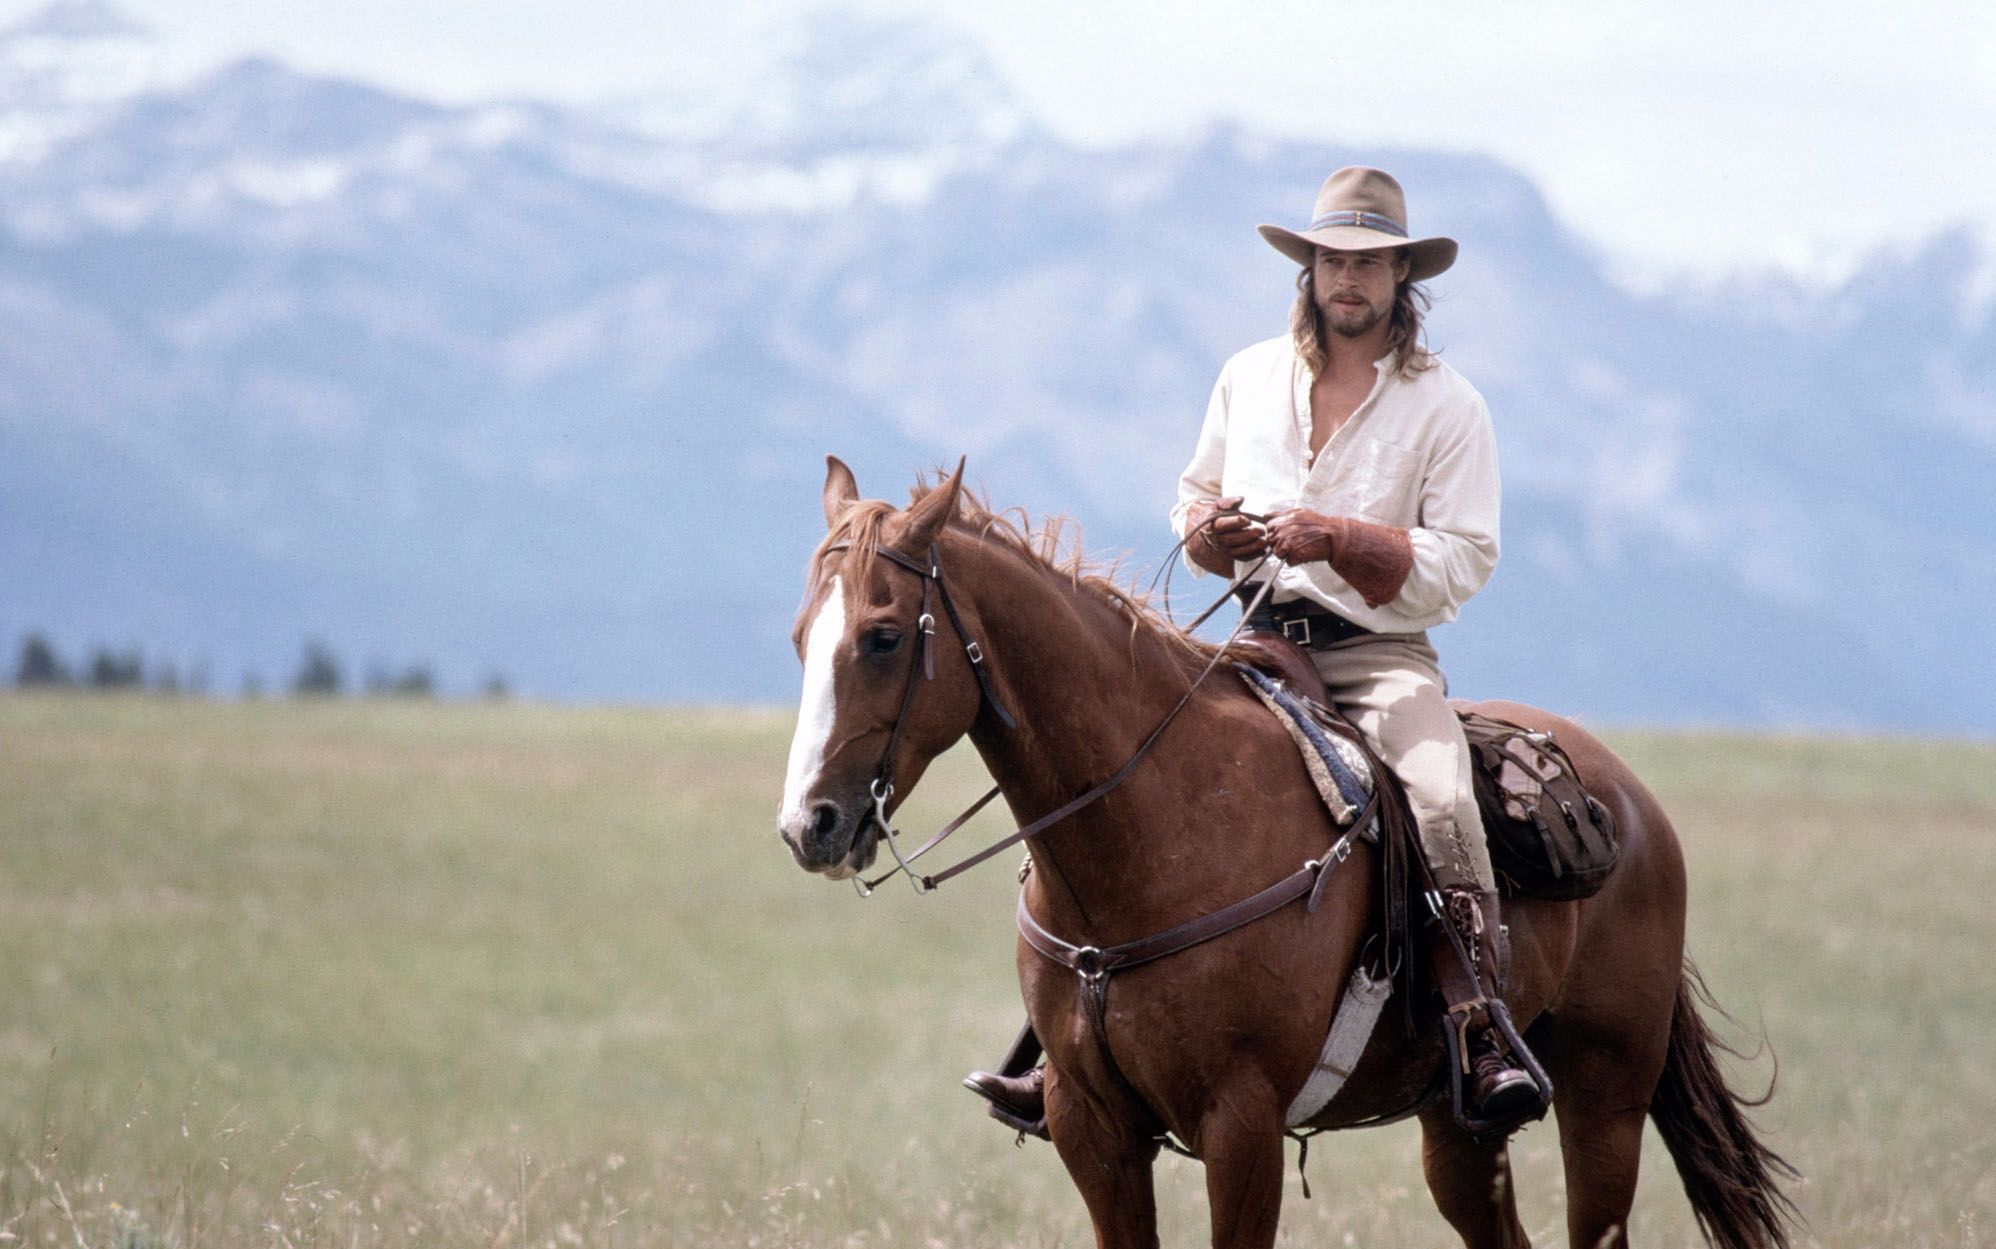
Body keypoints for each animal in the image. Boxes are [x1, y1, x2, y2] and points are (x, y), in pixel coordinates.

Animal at [774, 454, 1796, 1245]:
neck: (1151, 834)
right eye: (798, 638)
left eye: (883, 636)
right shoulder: (1090, 1127)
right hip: (1458, 1128)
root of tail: (1633, 804)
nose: (808, 824)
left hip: (1604, 1098)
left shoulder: (1242, 1124)